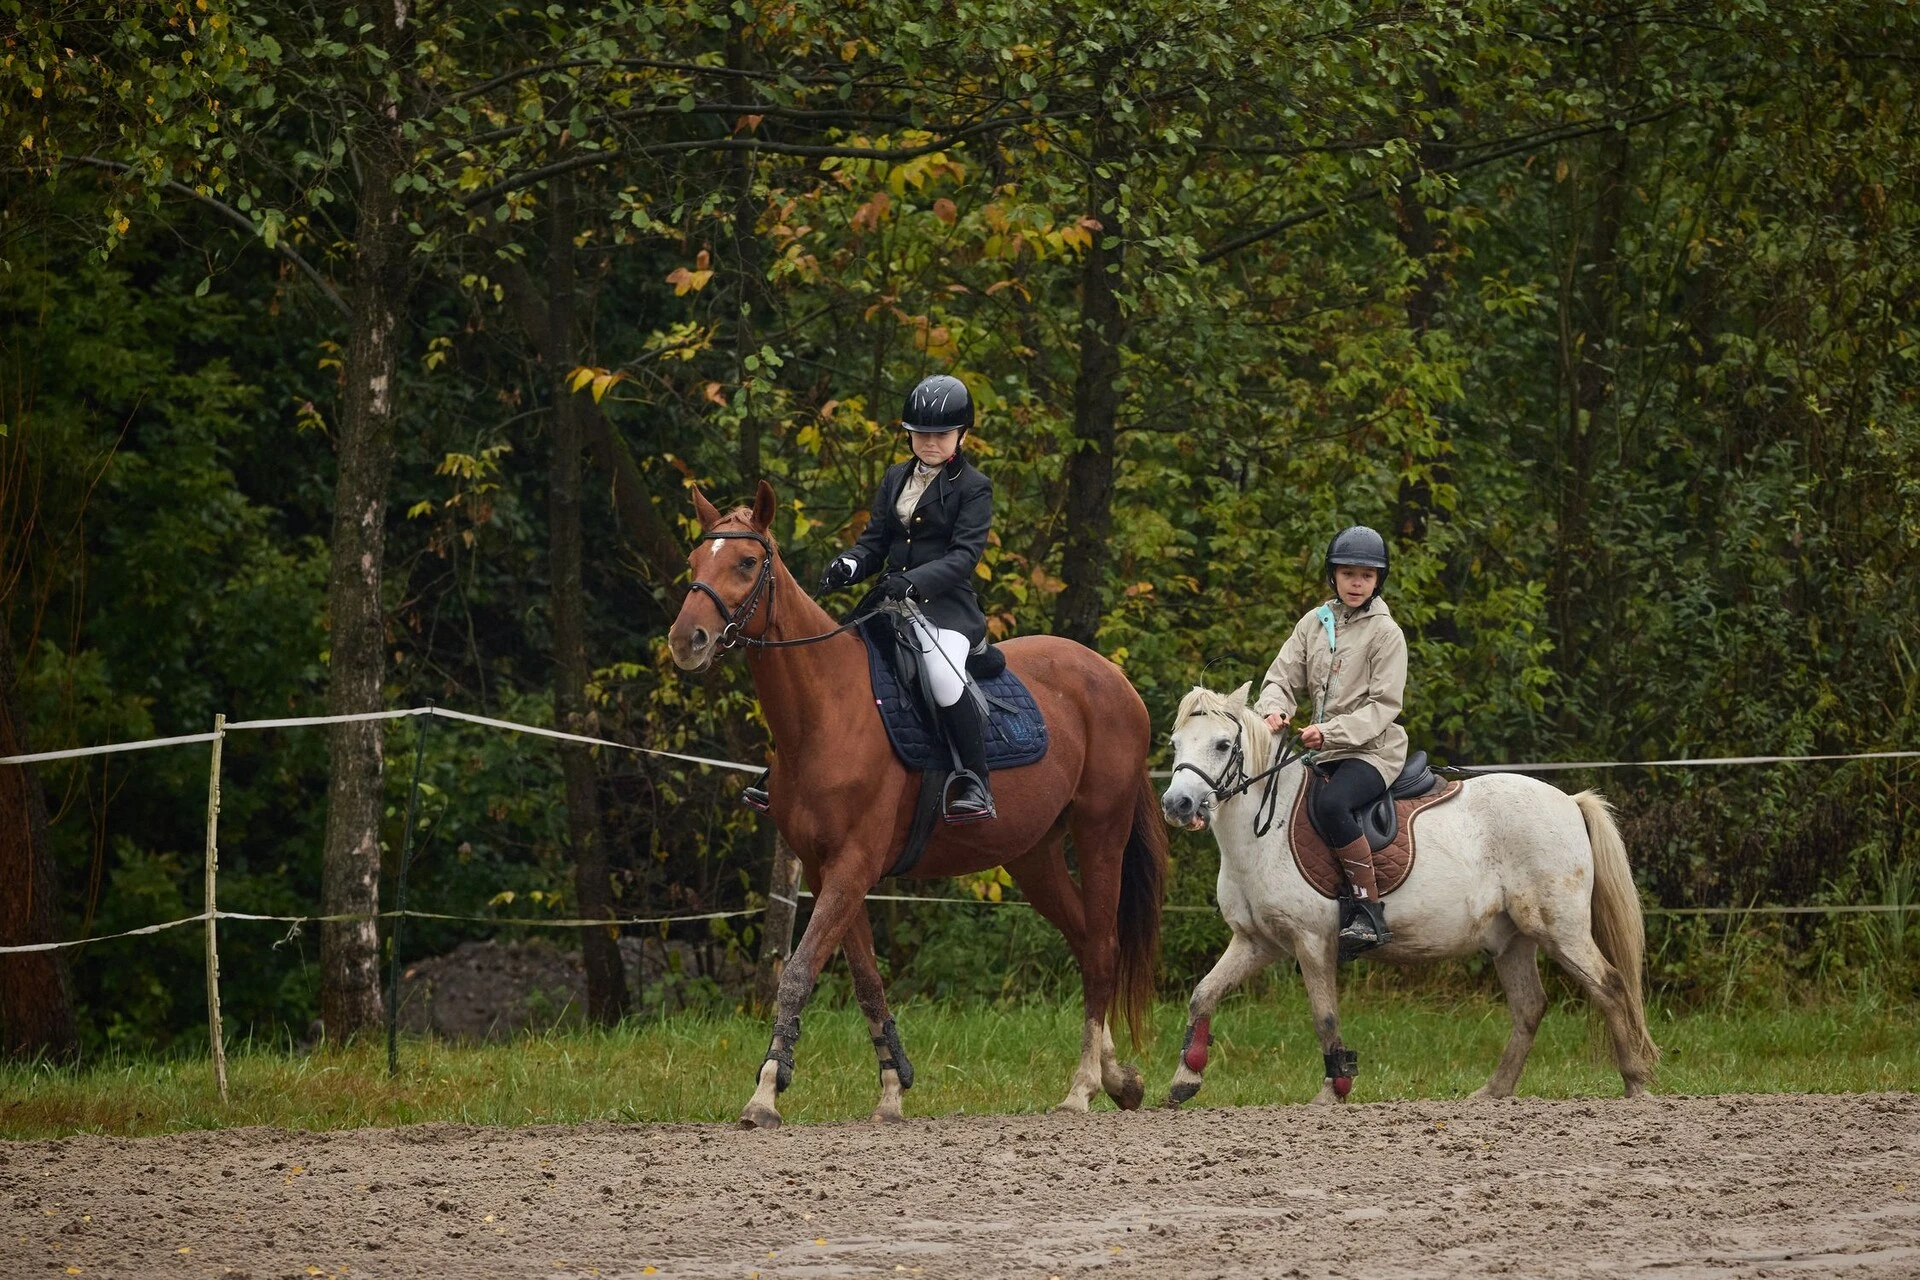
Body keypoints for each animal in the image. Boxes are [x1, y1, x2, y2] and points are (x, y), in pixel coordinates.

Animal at [668, 485, 1159, 1128]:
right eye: (695, 562)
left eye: (747, 563)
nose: (686, 642)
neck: (827, 707)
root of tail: (1115, 678)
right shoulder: (829, 870)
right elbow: (867, 981)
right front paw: (891, 1092)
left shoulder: (852, 866)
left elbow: (798, 973)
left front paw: (766, 1094)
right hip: (1033, 855)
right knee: (1083, 941)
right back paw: (1118, 1078)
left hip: (1102, 830)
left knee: (1101, 949)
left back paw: (1082, 1089)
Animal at [1159, 687, 1658, 1105]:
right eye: (1176, 744)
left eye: (1223, 744)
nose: (1177, 804)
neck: (1265, 831)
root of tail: (1569, 801)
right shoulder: (1256, 942)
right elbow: (1203, 994)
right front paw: (1185, 1079)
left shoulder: (1312, 941)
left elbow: (1325, 1017)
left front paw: (1333, 1091)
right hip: (1512, 939)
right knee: (1530, 1007)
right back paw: (1492, 1092)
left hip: (1559, 928)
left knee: (1610, 985)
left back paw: (1634, 1085)